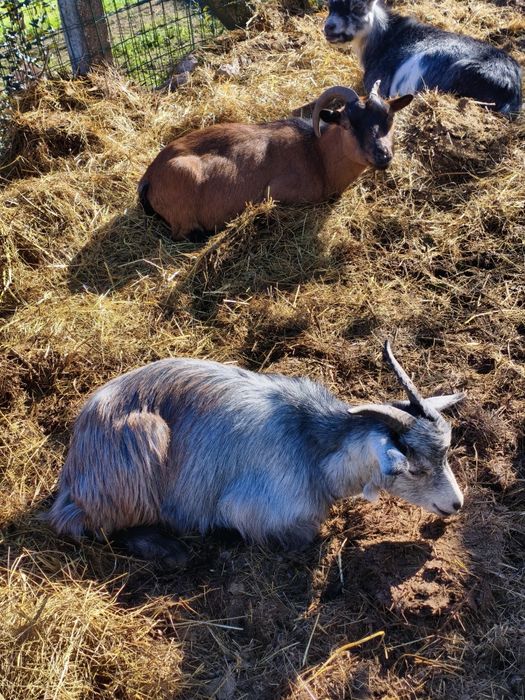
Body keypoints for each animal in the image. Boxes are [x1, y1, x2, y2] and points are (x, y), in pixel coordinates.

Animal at [47, 342, 464, 567]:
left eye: (445, 454)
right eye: (414, 468)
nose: (457, 504)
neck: (310, 444)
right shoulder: (255, 508)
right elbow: (303, 533)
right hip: (141, 441)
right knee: (93, 526)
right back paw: (171, 550)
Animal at [138, 84, 413, 241]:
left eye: (388, 118)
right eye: (348, 123)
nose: (383, 155)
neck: (317, 155)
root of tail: (149, 178)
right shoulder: (278, 191)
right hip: (183, 182)